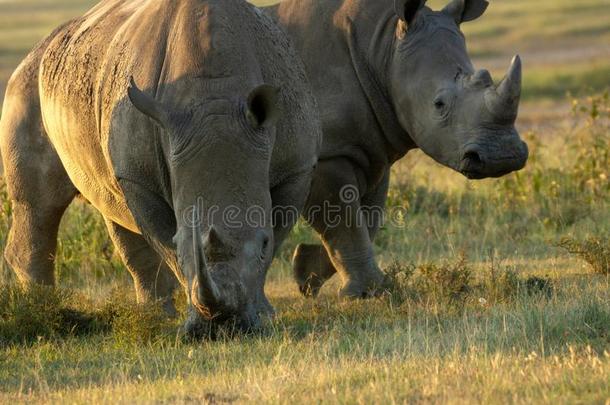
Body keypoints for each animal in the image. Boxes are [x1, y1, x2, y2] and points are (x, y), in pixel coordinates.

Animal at [0, 0, 320, 334]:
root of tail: (37, 49)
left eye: (262, 243)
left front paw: (264, 313)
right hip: (26, 87)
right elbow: (166, 245)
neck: (214, 98)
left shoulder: (297, 168)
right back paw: (44, 312)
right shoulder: (138, 176)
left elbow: (278, 233)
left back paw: (149, 316)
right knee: (39, 205)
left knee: (110, 204)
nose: (221, 324)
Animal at [266, 0, 528, 296]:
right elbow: (345, 220)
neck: (383, 49)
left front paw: (306, 272)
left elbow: (368, 217)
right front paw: (367, 292)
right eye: (438, 104)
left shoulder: (372, 148)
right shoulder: (329, 152)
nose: (504, 157)